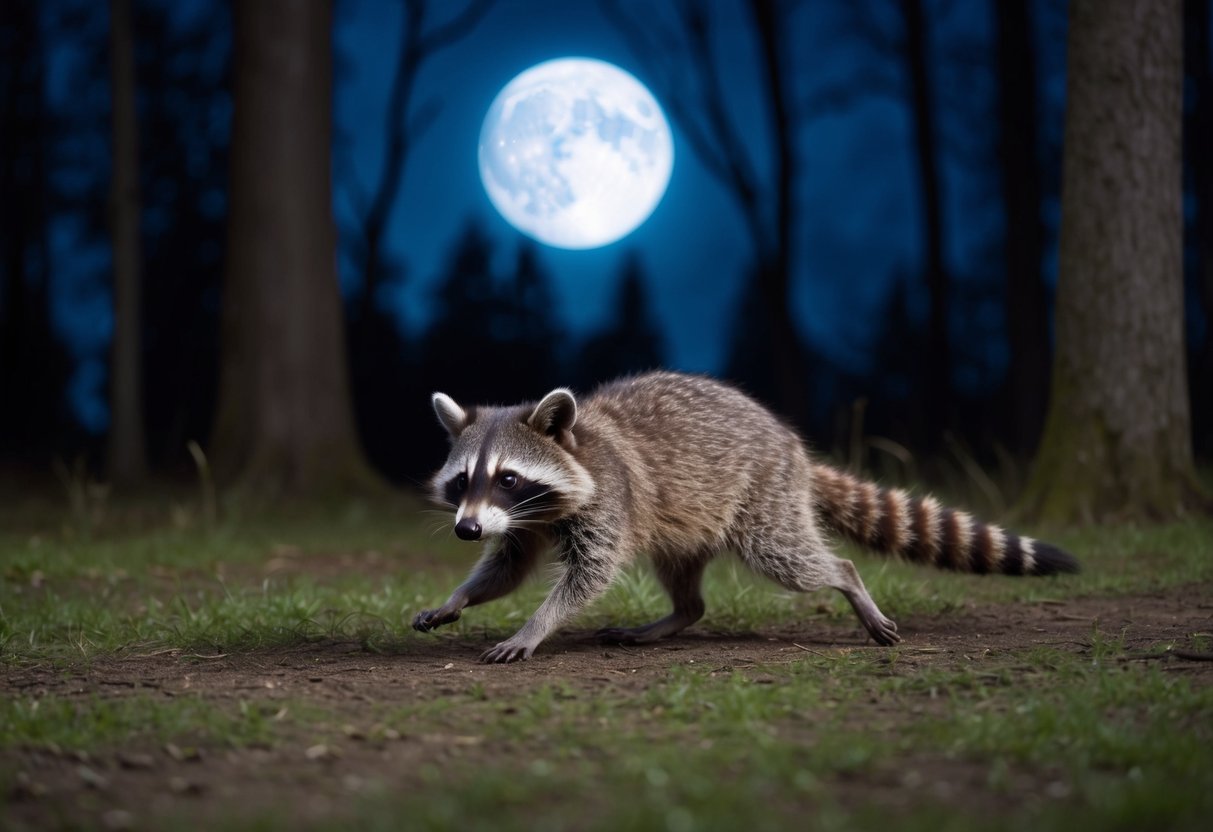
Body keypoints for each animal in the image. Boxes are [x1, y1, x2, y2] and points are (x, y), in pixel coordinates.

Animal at [413, 372, 1078, 663]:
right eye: (463, 481)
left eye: (507, 477)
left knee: (795, 560)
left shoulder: (607, 500)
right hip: (693, 517)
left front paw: (535, 626)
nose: (465, 530)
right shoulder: (521, 523)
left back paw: (847, 582)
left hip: (762, 498)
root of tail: (790, 443)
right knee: (686, 582)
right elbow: (506, 569)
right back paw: (677, 615)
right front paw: (458, 596)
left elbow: (588, 576)